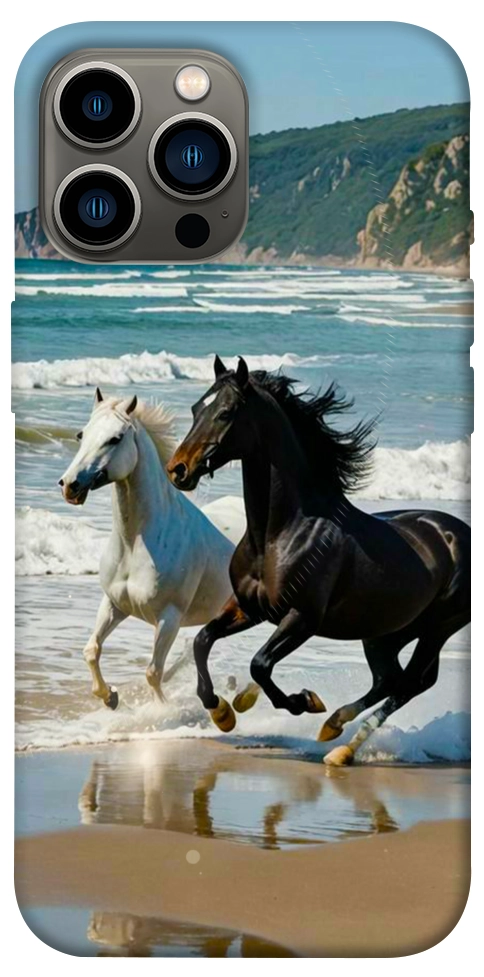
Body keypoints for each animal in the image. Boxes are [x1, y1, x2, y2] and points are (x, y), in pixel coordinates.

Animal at [59, 388, 234, 709]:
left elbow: (153, 672)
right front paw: (110, 697)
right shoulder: (114, 604)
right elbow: (91, 650)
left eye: (115, 438)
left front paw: (161, 711)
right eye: (81, 434)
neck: (135, 544)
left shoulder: (169, 617)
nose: (69, 485)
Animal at [166, 356, 470, 765]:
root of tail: (458, 533)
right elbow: (202, 640)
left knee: (410, 683)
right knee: (390, 679)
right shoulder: (249, 608)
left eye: (226, 413)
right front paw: (223, 712)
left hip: (438, 627)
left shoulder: (302, 618)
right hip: (386, 632)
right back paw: (334, 728)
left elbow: (260, 664)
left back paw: (340, 746)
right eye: (197, 408)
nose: (178, 469)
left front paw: (303, 701)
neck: (279, 534)